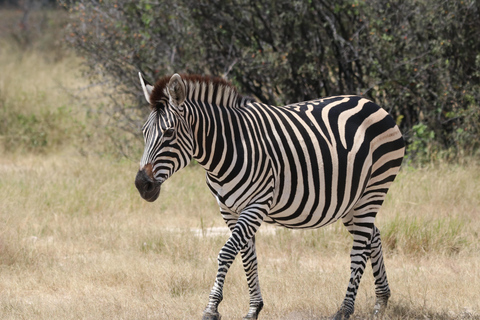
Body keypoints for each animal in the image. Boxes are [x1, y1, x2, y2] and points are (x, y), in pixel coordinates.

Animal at [135, 73, 404, 320]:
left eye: (169, 132)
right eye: (144, 132)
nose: (141, 185)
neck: (227, 148)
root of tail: (372, 103)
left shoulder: (257, 204)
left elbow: (226, 252)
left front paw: (211, 308)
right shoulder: (229, 210)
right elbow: (247, 256)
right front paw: (254, 308)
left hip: (373, 189)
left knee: (359, 249)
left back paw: (345, 310)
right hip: (350, 201)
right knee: (373, 236)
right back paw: (381, 302)